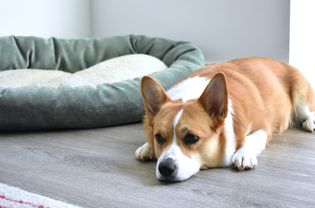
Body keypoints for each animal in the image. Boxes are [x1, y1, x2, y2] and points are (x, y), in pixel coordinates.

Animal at [136, 57, 315, 182]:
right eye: (159, 137)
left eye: (192, 138)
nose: (165, 168)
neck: (189, 95)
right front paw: (147, 147)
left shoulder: (262, 128)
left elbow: (250, 140)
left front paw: (243, 155)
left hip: (301, 98)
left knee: (308, 112)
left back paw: (310, 123)